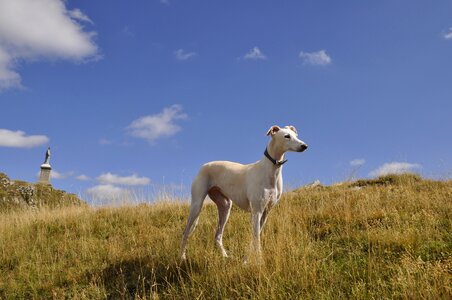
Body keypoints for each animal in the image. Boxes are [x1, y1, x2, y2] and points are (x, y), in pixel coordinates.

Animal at [180, 125, 308, 258]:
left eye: (296, 135)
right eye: (286, 136)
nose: (304, 146)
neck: (271, 169)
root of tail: (203, 165)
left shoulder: (266, 212)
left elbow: (255, 236)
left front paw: (247, 259)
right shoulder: (257, 211)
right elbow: (256, 238)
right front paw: (259, 259)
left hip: (225, 207)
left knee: (218, 236)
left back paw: (225, 256)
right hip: (197, 205)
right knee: (185, 233)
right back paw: (182, 257)